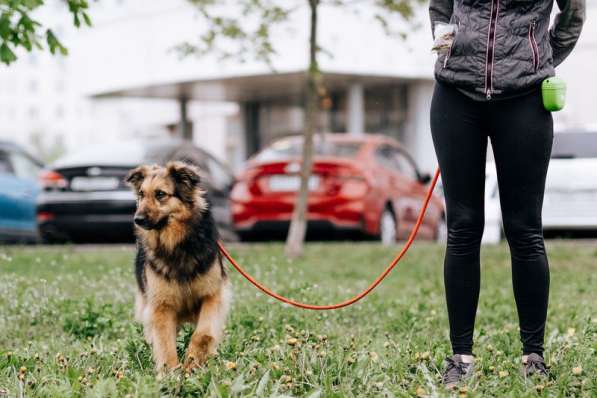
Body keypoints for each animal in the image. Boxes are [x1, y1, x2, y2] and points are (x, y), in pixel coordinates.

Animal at [124, 161, 230, 374]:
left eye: (160, 194)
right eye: (141, 194)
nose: (137, 219)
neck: (176, 245)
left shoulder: (212, 295)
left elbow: (203, 334)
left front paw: (193, 362)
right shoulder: (161, 305)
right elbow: (164, 342)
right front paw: (170, 373)